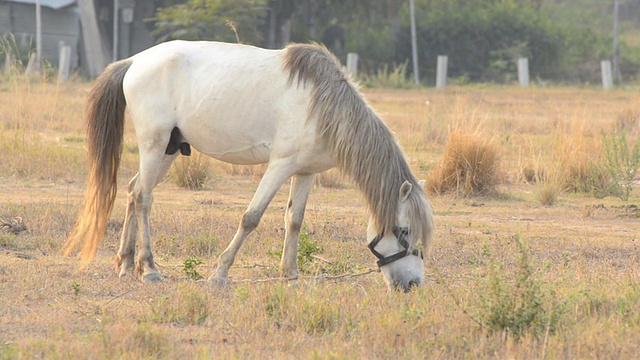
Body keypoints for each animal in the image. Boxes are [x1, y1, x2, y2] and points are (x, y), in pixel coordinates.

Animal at [65, 40, 436, 292]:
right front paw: (220, 274)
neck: (322, 105)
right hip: (154, 145)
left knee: (133, 191)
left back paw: (126, 264)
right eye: (404, 231)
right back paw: (149, 268)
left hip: (167, 149)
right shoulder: (279, 166)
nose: (412, 285)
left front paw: (291, 276)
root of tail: (135, 61)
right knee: (144, 199)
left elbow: (294, 221)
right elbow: (251, 218)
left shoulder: (306, 172)